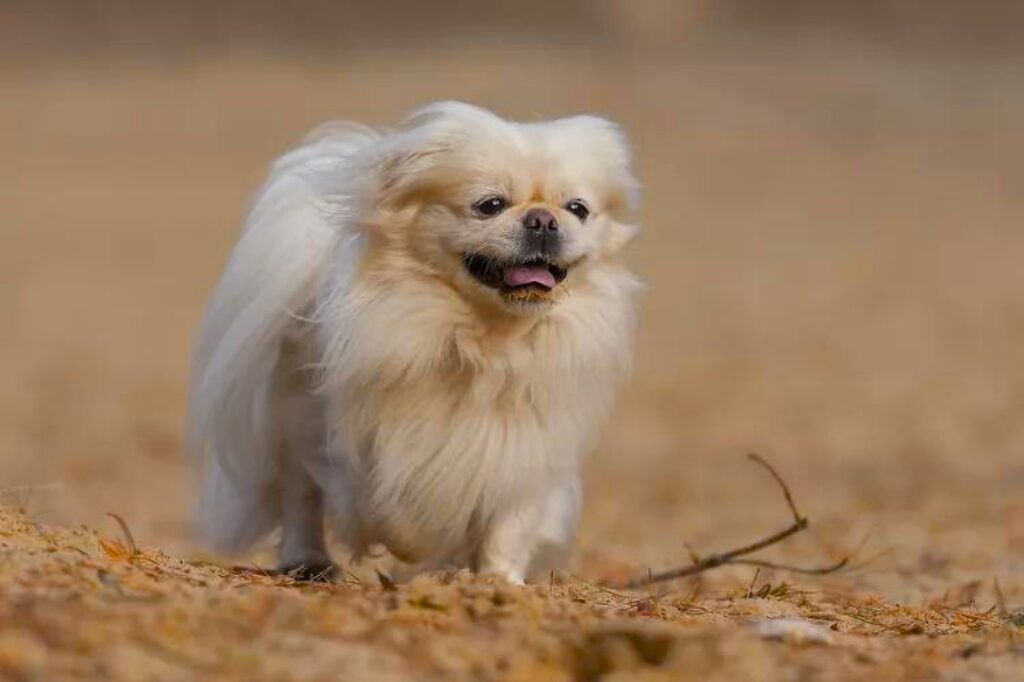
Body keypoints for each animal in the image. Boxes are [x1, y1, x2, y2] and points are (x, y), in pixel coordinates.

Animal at [186, 99, 638, 577]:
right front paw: (417, 547)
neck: (488, 342)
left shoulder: (524, 450)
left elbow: (509, 525)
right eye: (490, 205)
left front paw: (496, 580)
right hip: (297, 421)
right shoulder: (369, 445)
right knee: (300, 496)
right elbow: (392, 505)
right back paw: (307, 560)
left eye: (577, 209)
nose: (543, 219)